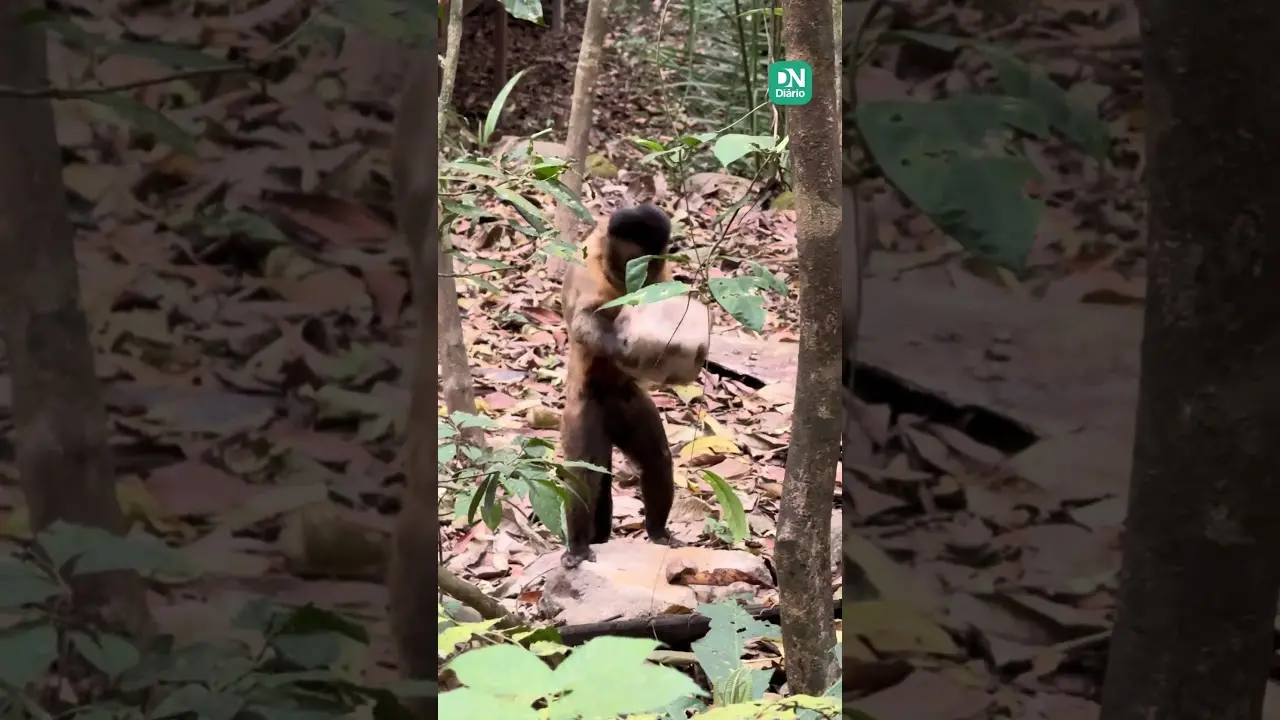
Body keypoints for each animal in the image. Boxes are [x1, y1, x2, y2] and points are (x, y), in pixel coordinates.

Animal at [559, 203, 687, 569]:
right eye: (632, 257)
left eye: (649, 258)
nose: (639, 273)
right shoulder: (588, 266)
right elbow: (585, 320)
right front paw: (623, 345)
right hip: (583, 409)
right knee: (585, 474)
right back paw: (578, 546)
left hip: (626, 404)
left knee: (655, 458)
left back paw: (657, 531)